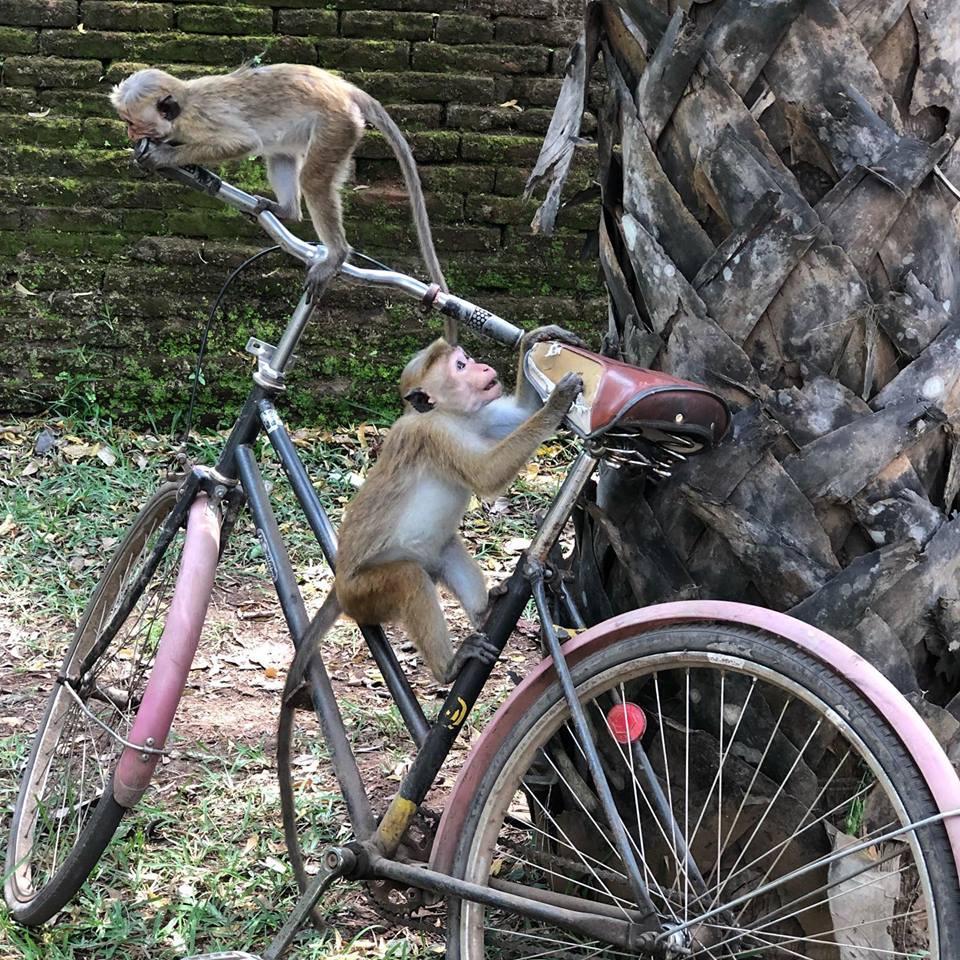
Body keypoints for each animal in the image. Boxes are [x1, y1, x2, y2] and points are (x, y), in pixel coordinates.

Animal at [110, 63, 451, 331]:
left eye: (132, 123)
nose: (129, 135)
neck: (184, 105)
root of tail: (343, 88)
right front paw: (197, 172)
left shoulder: (204, 120)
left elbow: (243, 142)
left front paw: (163, 156)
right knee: (279, 154)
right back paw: (286, 211)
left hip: (336, 126)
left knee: (312, 179)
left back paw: (336, 254)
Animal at [283, 326, 585, 701]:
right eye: (460, 366)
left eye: (466, 358)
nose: (483, 366)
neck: (451, 416)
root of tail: (339, 586)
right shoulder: (433, 435)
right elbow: (487, 475)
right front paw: (558, 401)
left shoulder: (480, 416)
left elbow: (519, 412)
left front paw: (535, 340)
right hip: (365, 592)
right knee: (409, 578)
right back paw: (449, 667)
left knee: (446, 548)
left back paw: (485, 611)